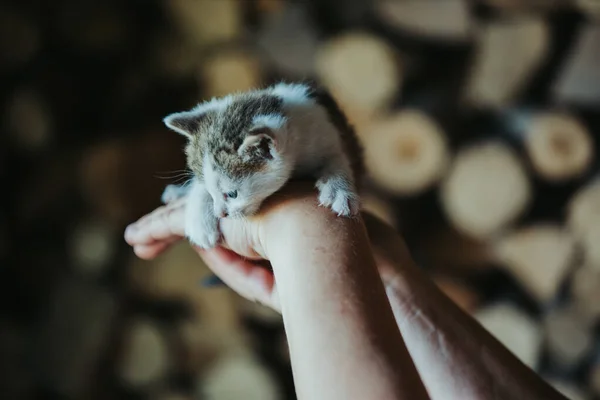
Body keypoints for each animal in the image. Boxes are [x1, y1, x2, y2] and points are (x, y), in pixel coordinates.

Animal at [162, 81, 364, 248]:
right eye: (211, 192)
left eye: (232, 194)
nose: (220, 214)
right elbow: (198, 188)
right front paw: (200, 220)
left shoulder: (327, 135)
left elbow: (337, 159)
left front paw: (339, 190)